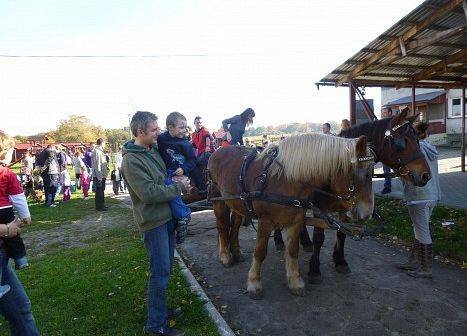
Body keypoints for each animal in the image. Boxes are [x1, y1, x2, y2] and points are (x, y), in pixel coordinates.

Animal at [209, 134, 376, 296]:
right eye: (366, 175)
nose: (368, 213)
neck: (285, 179)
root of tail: (217, 151)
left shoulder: (296, 221)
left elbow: (293, 250)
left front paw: (295, 281)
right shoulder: (265, 221)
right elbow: (260, 252)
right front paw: (254, 283)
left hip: (237, 203)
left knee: (234, 227)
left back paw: (236, 253)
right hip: (218, 201)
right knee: (222, 227)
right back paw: (225, 256)